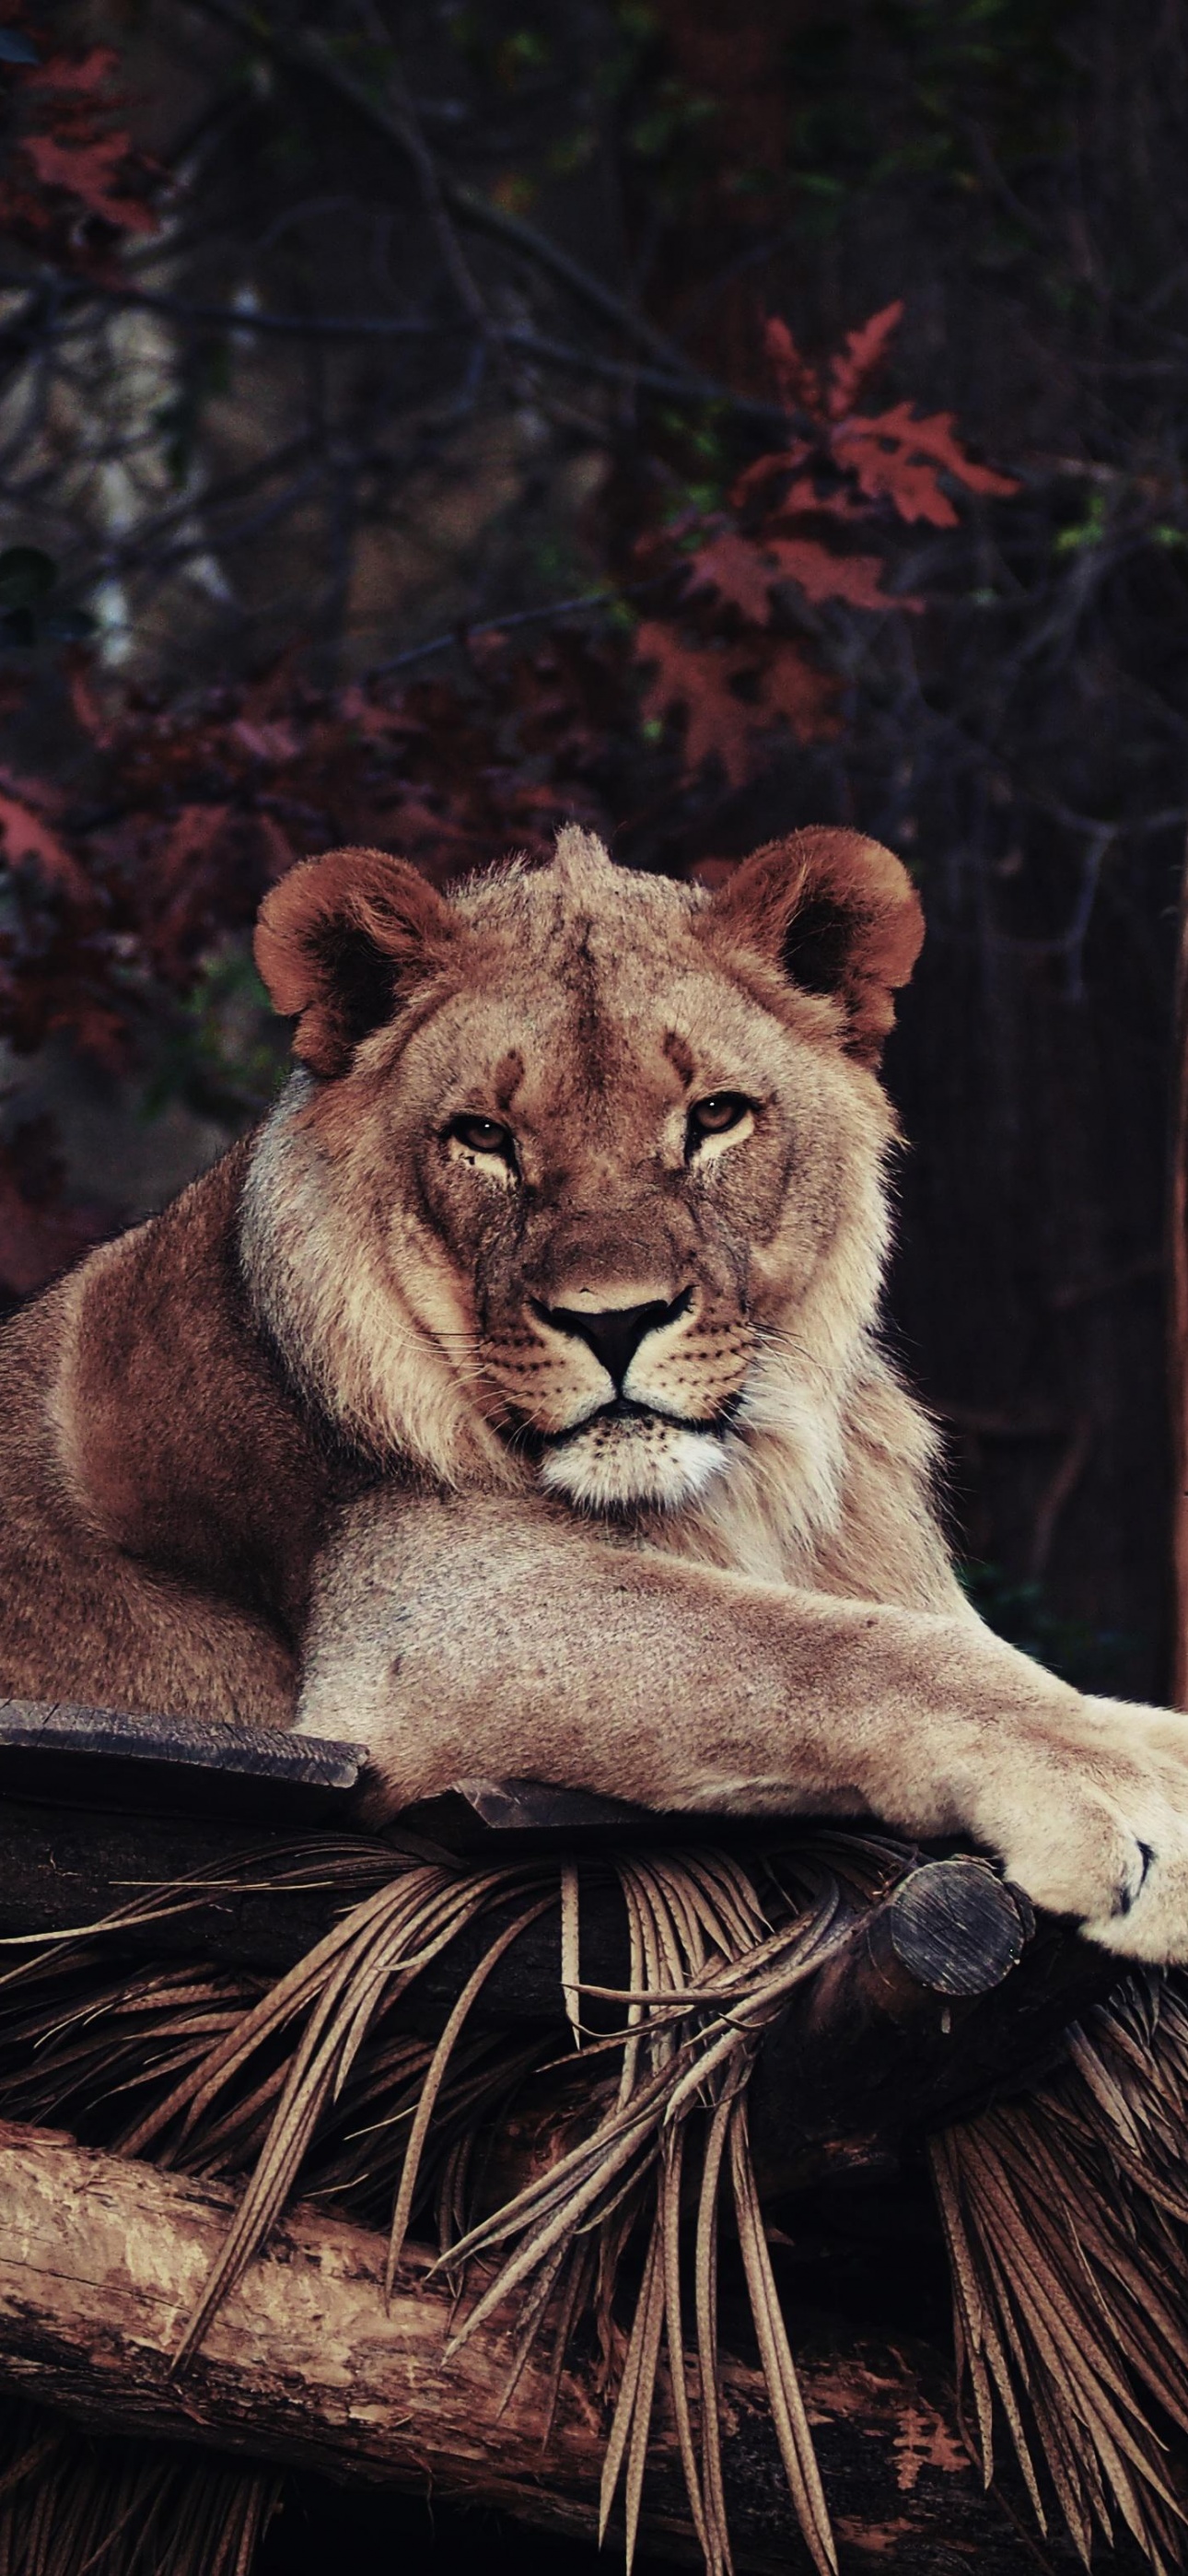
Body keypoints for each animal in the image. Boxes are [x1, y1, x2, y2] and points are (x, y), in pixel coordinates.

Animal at [3, 821, 1188, 1960]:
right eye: (484, 1136)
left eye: (715, 1116)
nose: (613, 1320)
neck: (740, 1485)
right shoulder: (418, 1629)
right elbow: (830, 1651)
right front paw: (1138, 1809)